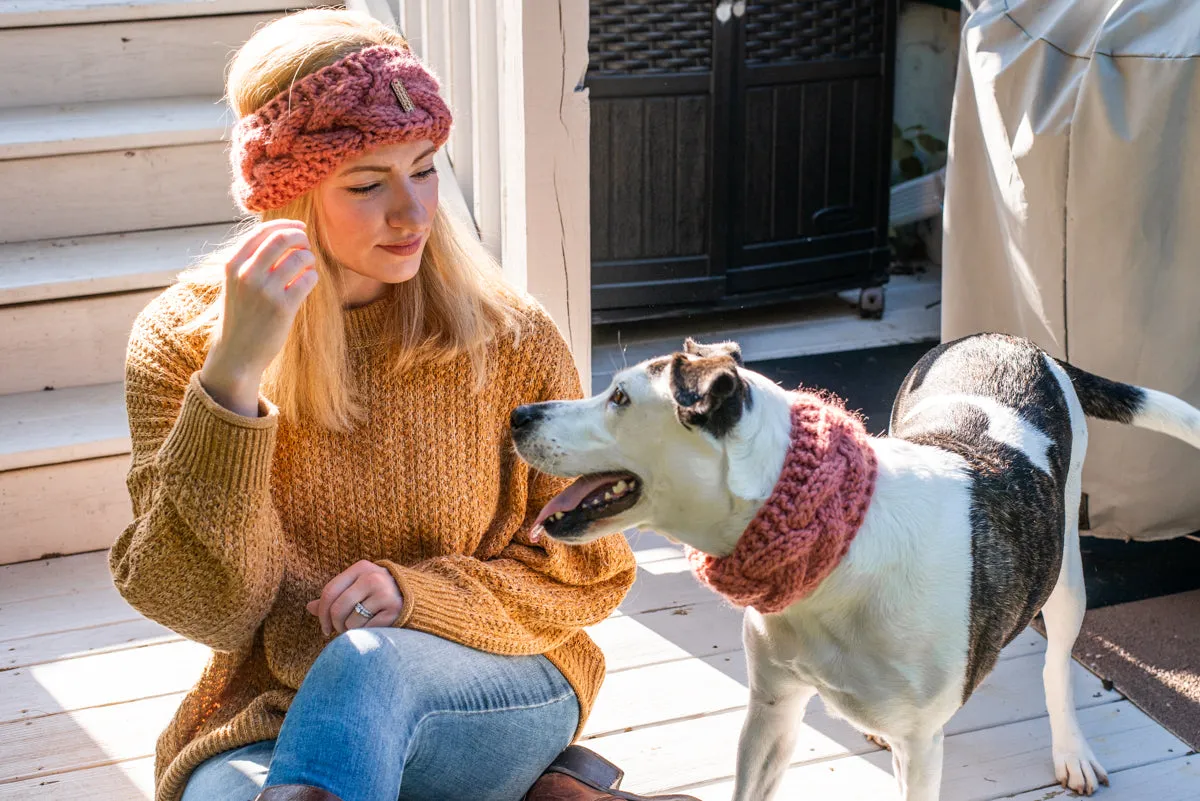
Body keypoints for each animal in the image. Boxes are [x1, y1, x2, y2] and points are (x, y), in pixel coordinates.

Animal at [508, 333, 1200, 801]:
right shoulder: (772, 707)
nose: (519, 414)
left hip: (1066, 581)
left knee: (1057, 664)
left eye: (620, 397)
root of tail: (1012, 339)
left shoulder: (920, 748)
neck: (835, 561)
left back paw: (1071, 749)